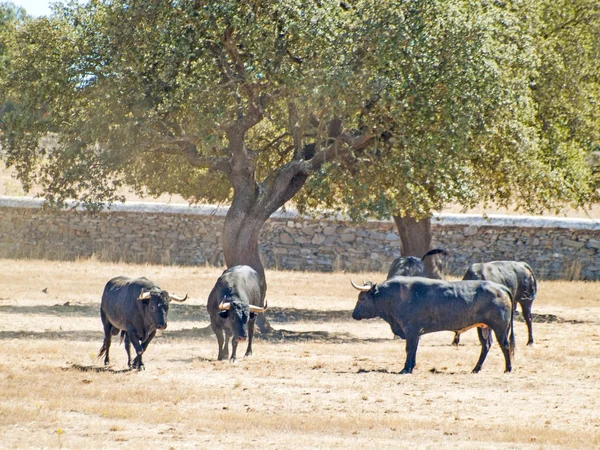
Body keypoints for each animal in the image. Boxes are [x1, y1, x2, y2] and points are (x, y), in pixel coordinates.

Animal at [352, 276, 516, 374]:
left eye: (362, 298)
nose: (354, 314)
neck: (395, 296)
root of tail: (500, 288)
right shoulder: (416, 333)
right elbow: (414, 349)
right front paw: (411, 367)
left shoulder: (411, 331)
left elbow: (409, 349)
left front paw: (405, 369)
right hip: (483, 328)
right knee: (486, 346)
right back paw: (476, 369)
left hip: (500, 327)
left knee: (504, 345)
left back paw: (508, 369)